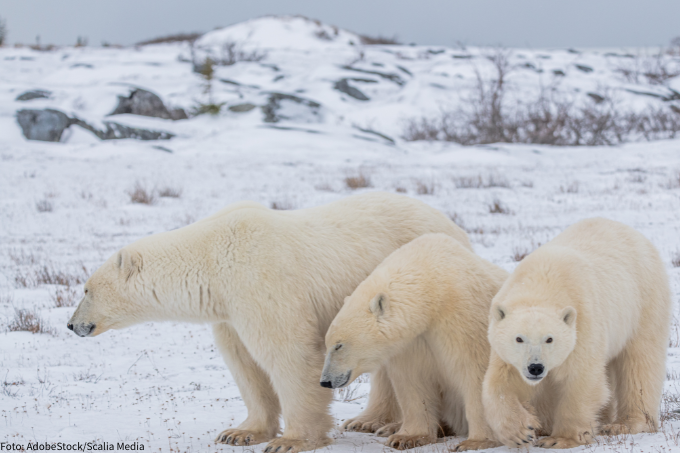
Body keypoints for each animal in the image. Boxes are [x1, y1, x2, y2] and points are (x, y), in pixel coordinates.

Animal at [69, 192, 472, 452]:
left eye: (86, 289)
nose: (72, 325)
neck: (212, 257)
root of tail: (455, 227)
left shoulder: (261, 282)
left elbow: (289, 355)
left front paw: (291, 440)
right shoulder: (229, 311)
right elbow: (244, 364)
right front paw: (240, 432)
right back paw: (369, 420)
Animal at [322, 233, 508, 448]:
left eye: (339, 345)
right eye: (328, 344)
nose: (325, 381)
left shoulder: (464, 319)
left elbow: (476, 372)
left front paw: (477, 441)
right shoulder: (410, 341)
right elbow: (413, 380)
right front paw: (407, 437)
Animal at [486, 217, 672, 446]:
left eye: (550, 339)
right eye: (518, 338)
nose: (535, 367)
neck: (542, 282)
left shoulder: (583, 324)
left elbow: (581, 380)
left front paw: (559, 439)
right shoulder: (505, 352)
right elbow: (501, 384)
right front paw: (522, 431)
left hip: (643, 303)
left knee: (639, 363)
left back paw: (626, 423)